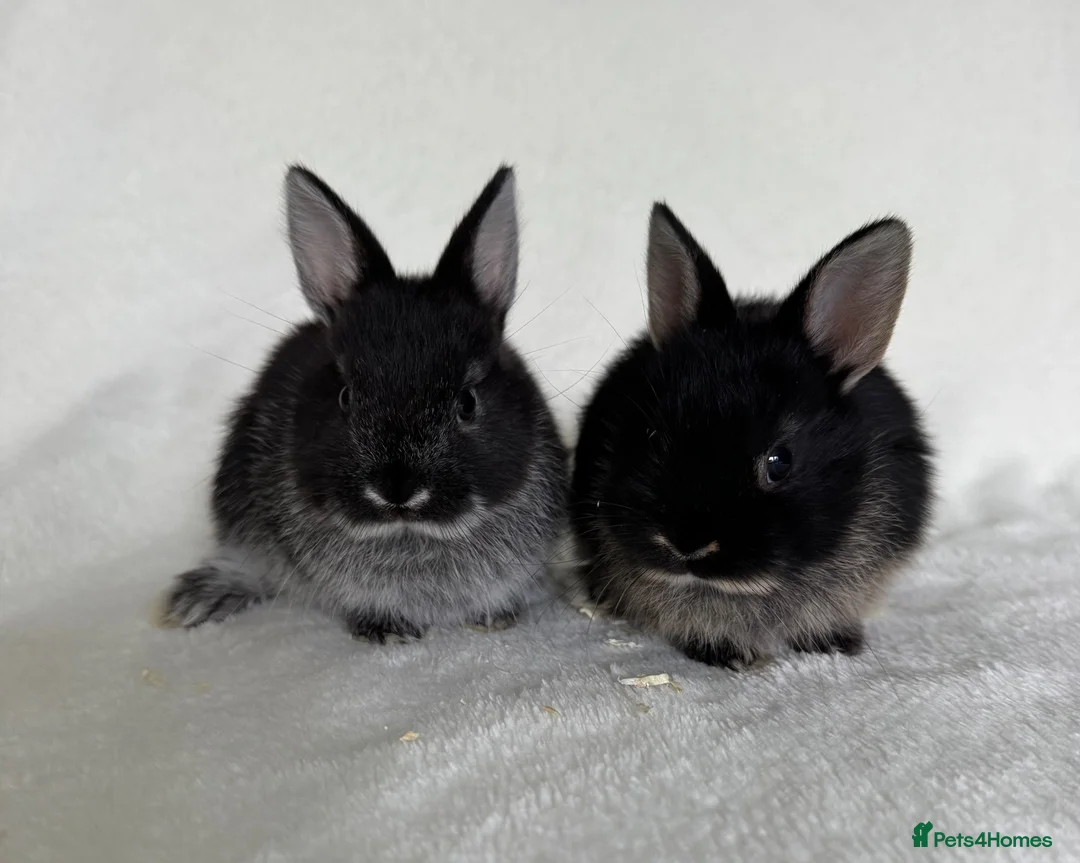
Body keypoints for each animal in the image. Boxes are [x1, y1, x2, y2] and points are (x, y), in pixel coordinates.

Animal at [161, 165, 568, 642]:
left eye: (467, 402)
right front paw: (389, 631)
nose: (397, 490)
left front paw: (496, 618)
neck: (410, 534)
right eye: (346, 396)